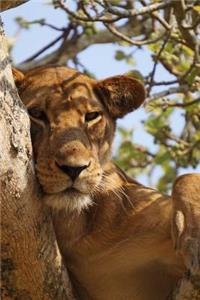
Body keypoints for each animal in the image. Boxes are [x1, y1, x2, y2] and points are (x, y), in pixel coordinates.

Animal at [13, 66, 199, 300]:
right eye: (36, 114)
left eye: (91, 116)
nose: (74, 168)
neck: (75, 227)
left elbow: (187, 178)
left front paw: (193, 235)